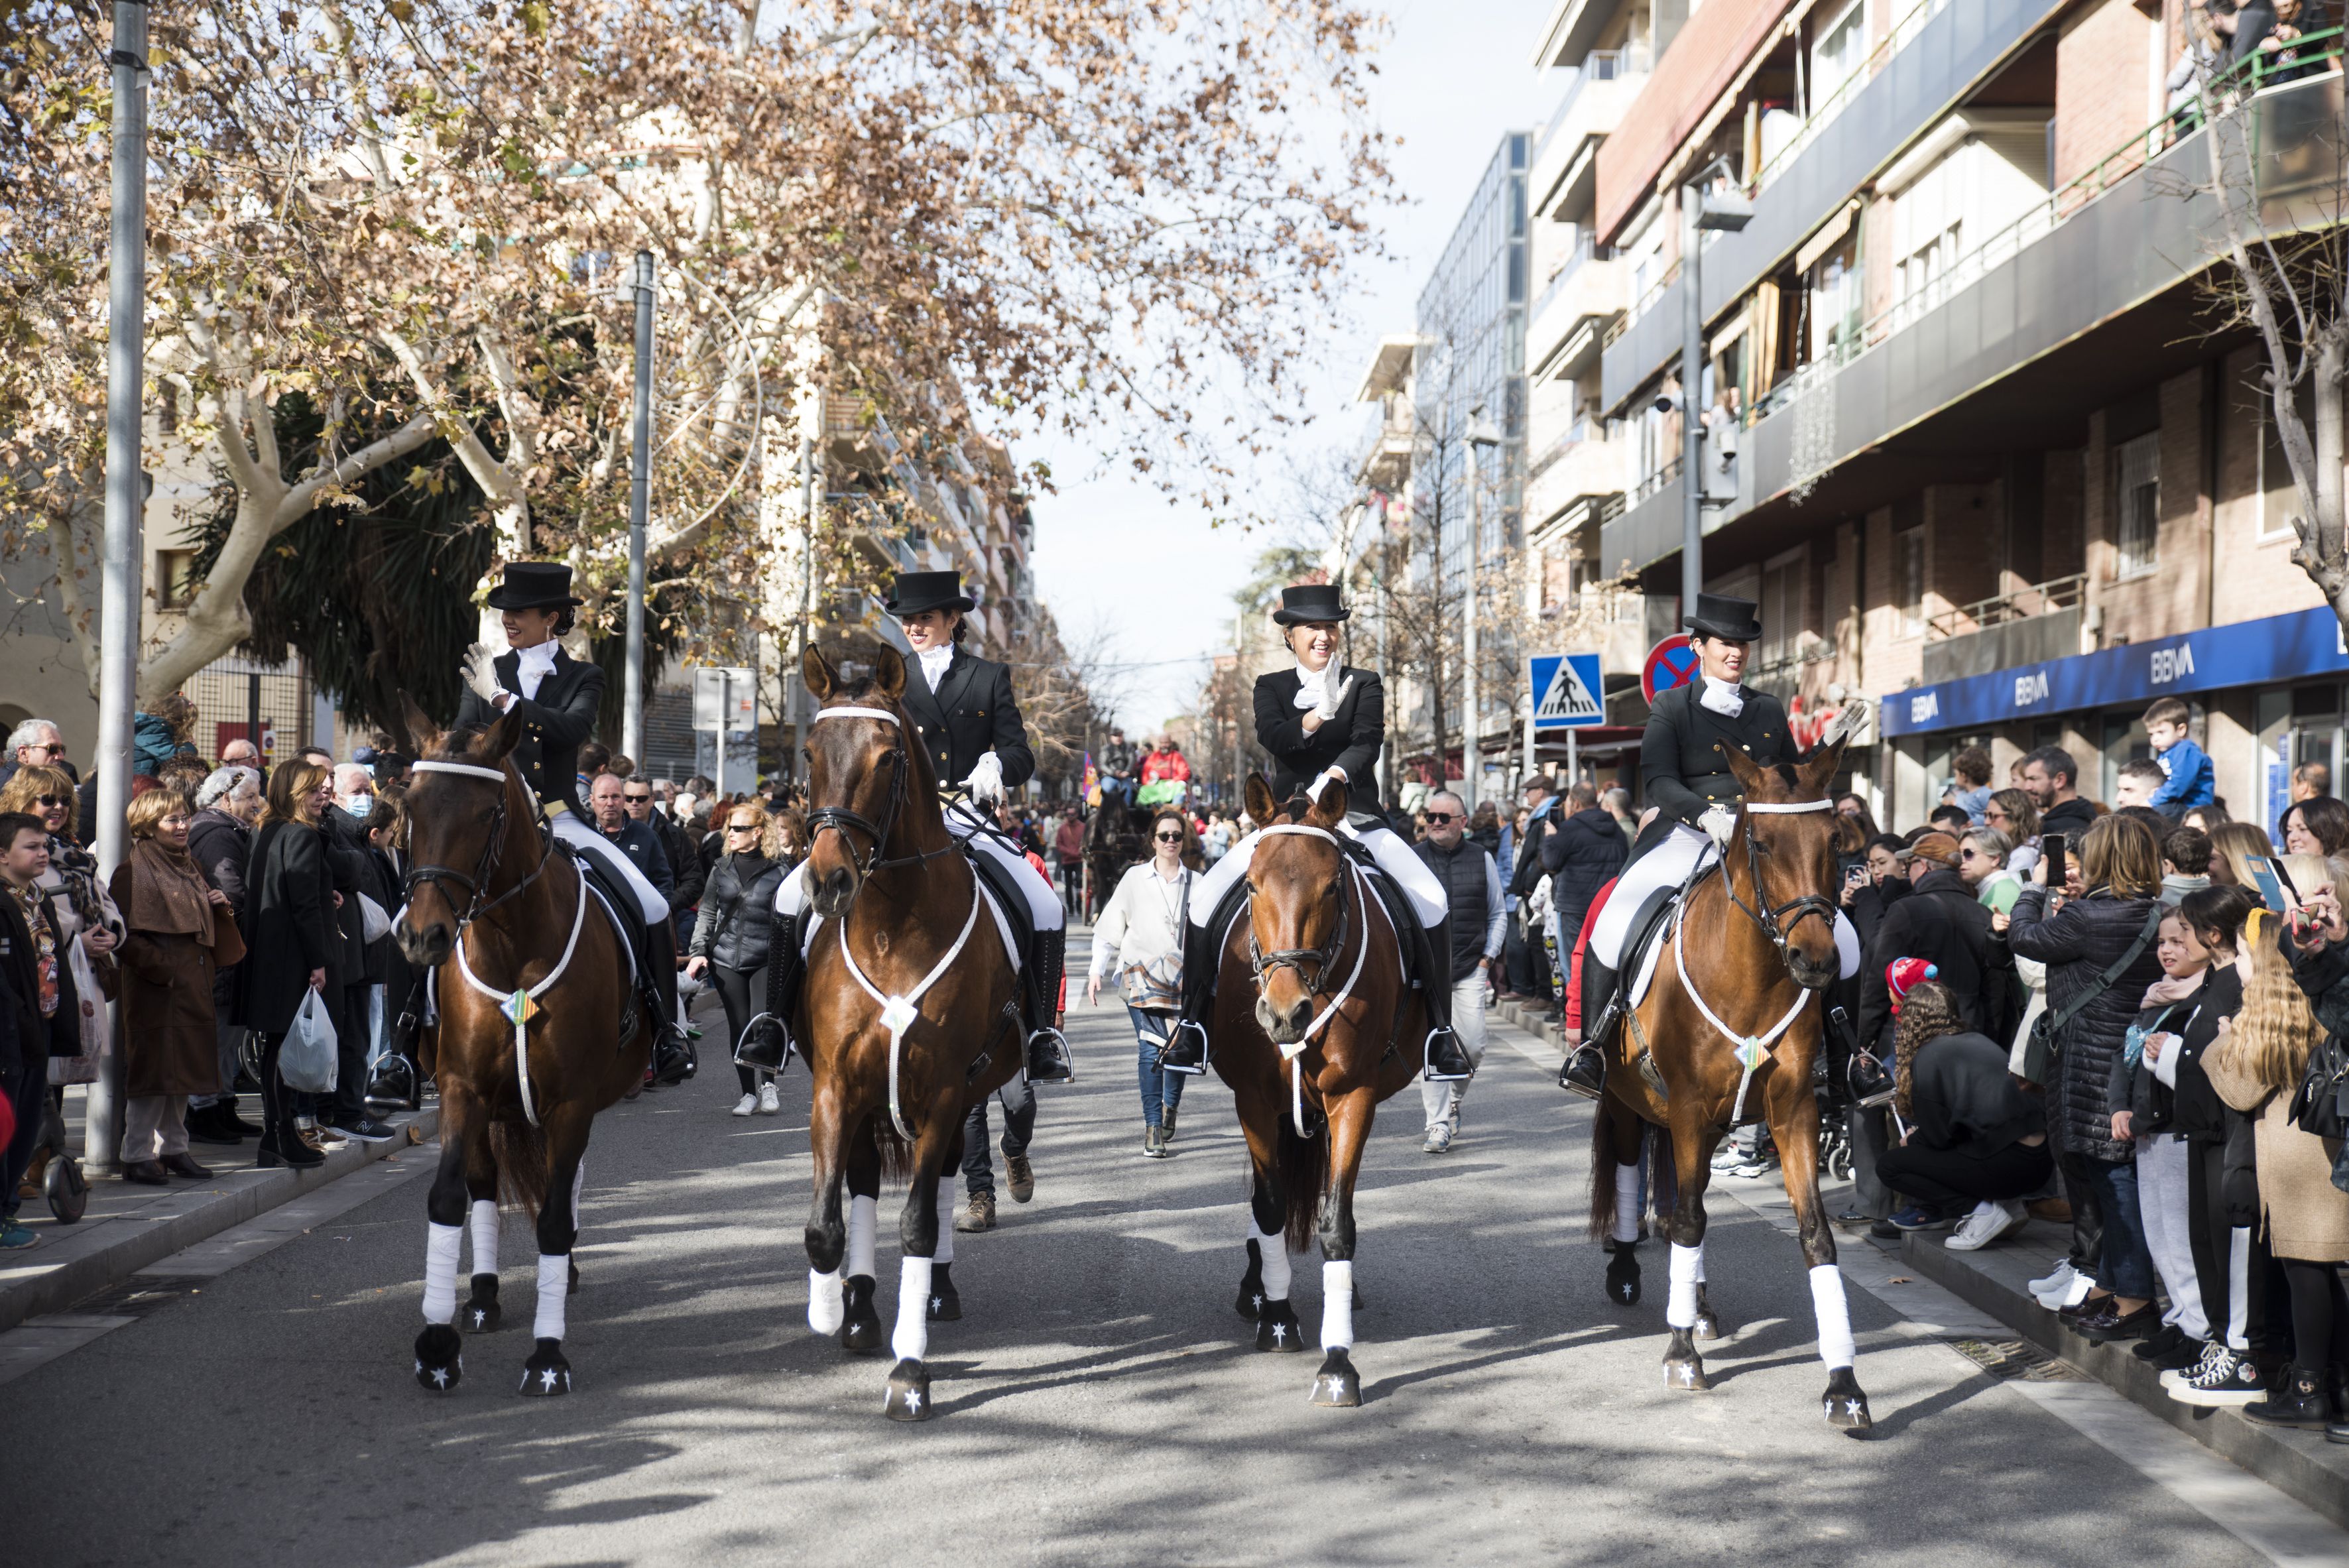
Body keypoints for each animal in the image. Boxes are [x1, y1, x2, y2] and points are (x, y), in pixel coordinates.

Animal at [394, 704, 648, 1389]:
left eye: (486, 813)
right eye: (410, 804)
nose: (422, 935)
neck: (511, 944)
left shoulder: (572, 1101)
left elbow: (556, 1215)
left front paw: (548, 1356)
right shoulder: (461, 1088)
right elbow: (449, 1196)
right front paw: (435, 1346)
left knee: (568, 1184)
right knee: (485, 1184)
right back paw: (482, 1297)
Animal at [794, 648, 1024, 1417]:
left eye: (889, 756)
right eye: (809, 751)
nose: (828, 881)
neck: (892, 925)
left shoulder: (946, 1089)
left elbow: (921, 1221)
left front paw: (910, 1368)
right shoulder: (835, 1085)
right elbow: (824, 1226)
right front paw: (830, 1309)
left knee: (946, 1174)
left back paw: (935, 1295)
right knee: (864, 1179)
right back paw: (860, 1307)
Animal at [1203, 779, 1418, 1399]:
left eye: (1331, 886)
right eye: (1252, 884)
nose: (1284, 1012)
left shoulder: (1352, 1095)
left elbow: (1335, 1222)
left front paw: (1338, 1360)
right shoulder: (1252, 1098)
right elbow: (1270, 1206)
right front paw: (1277, 1319)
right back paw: (1256, 1289)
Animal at [1578, 737, 1870, 1436]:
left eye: (1834, 839)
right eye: (1760, 841)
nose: (1815, 960)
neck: (1753, 976)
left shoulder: (1792, 1113)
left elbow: (1813, 1234)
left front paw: (1843, 1385)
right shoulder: (1685, 1108)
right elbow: (1683, 1218)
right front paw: (1680, 1352)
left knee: (1697, 1200)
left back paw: (1700, 1303)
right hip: (1629, 1103)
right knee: (1633, 1171)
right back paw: (1627, 1272)